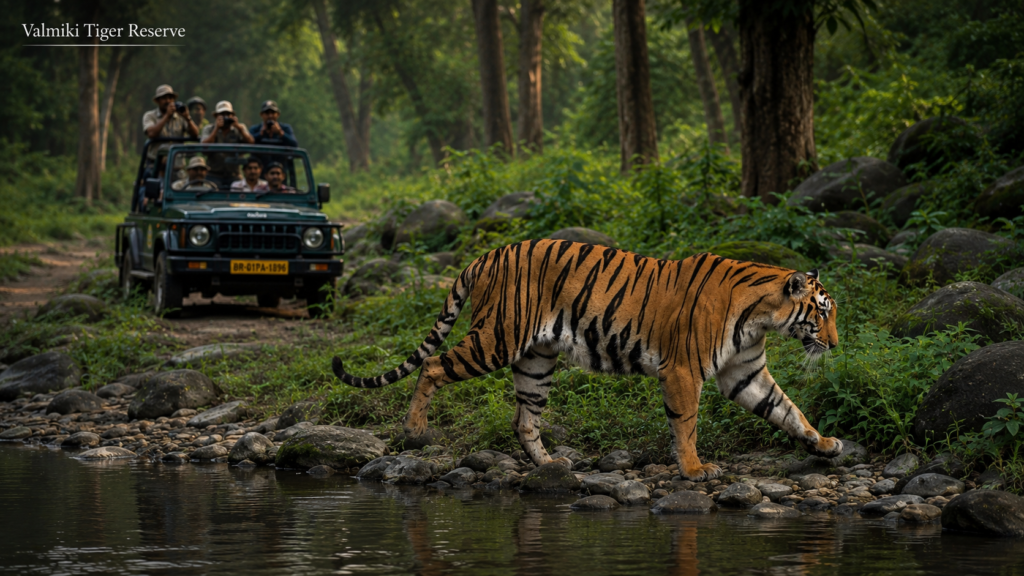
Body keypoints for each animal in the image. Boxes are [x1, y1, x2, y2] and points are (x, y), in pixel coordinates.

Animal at [332, 239, 842, 481]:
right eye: (822, 312)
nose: (836, 345)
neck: (762, 318)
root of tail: (486, 255)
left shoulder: (745, 372)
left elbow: (787, 409)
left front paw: (823, 443)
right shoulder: (682, 370)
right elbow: (687, 424)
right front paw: (695, 469)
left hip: (535, 361)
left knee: (524, 419)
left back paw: (550, 465)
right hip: (497, 337)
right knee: (433, 365)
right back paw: (415, 430)